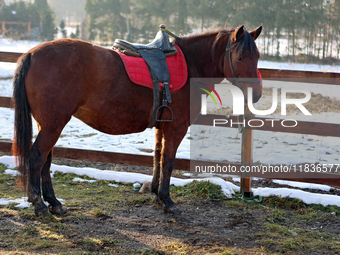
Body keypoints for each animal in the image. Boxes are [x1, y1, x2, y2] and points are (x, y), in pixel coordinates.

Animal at [12, 24, 262, 216]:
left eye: (258, 56)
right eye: (240, 57)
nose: (257, 95)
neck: (192, 66)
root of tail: (32, 54)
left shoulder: (162, 127)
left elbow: (158, 157)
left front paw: (156, 194)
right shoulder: (176, 129)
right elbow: (169, 161)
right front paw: (167, 200)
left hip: (49, 124)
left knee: (46, 160)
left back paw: (54, 203)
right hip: (53, 125)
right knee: (37, 157)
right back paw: (39, 204)